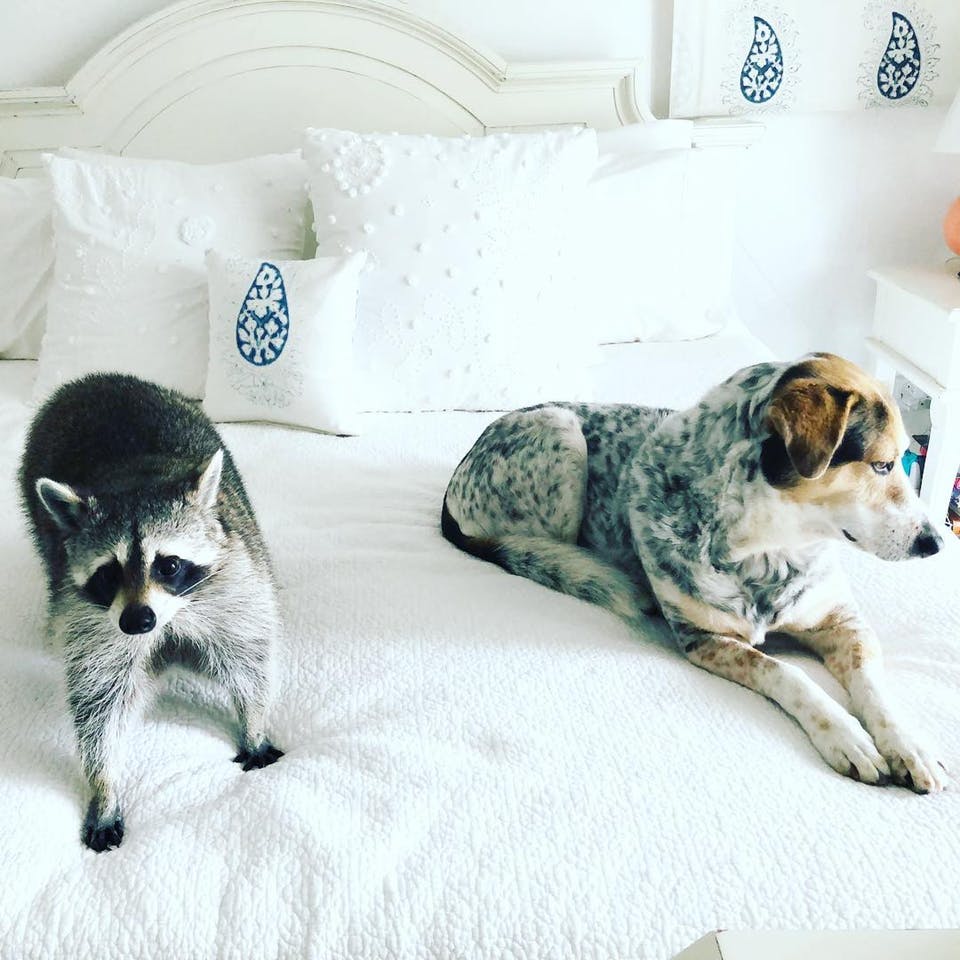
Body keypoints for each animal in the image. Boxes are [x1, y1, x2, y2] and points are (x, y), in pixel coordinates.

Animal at [19, 373, 284, 852]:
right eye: (108, 573)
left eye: (170, 565)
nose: (137, 622)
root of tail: (92, 379)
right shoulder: (93, 622)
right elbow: (99, 707)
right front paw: (103, 785)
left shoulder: (234, 581)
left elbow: (248, 658)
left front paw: (253, 723)